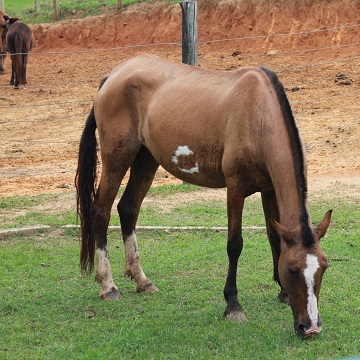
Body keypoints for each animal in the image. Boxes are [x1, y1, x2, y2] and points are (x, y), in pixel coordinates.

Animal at [75, 54, 332, 336]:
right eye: (293, 269)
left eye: (323, 267)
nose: (310, 327)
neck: (258, 114)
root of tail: (113, 76)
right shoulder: (236, 188)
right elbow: (235, 244)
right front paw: (233, 305)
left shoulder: (269, 188)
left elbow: (274, 237)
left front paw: (283, 292)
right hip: (116, 159)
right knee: (101, 213)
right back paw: (108, 286)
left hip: (146, 159)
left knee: (128, 209)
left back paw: (141, 280)